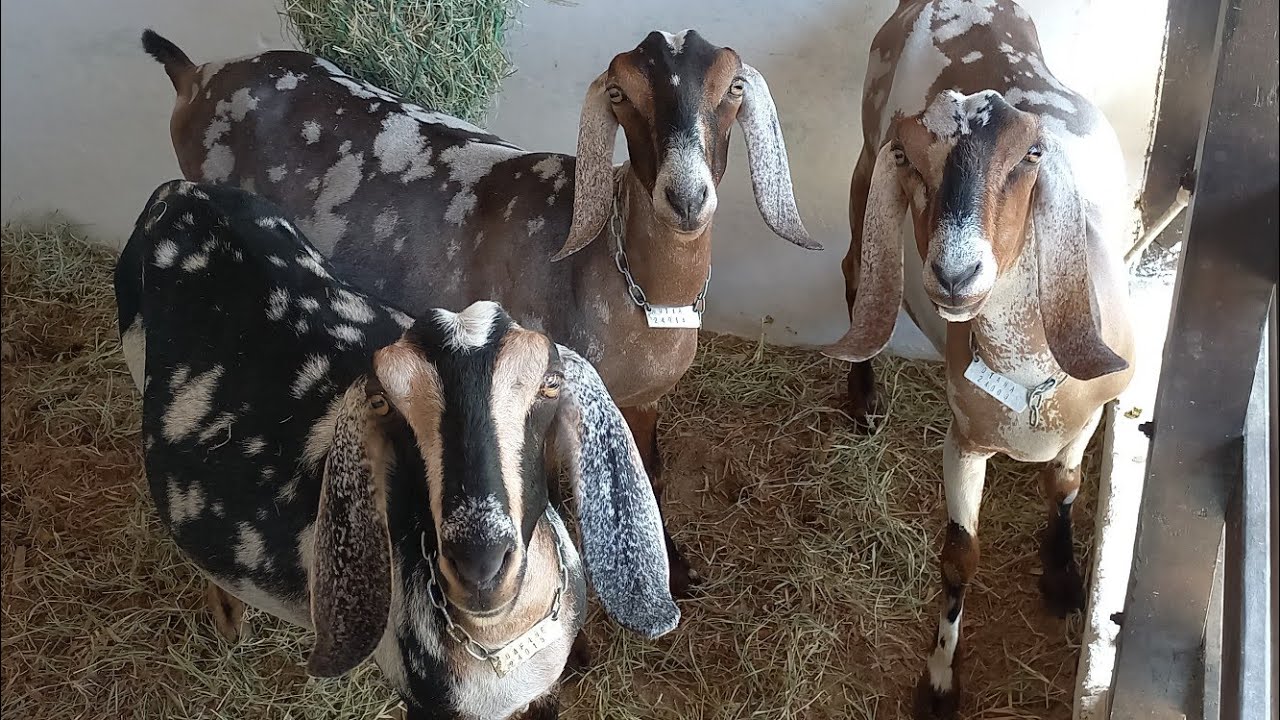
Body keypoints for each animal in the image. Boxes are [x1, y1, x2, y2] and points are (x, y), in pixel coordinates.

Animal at [115, 179, 679, 720]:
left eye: (550, 384)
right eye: (385, 401)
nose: (480, 563)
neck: (501, 643)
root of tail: (179, 191)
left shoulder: (544, 691)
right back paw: (230, 618)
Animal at [140, 29, 823, 596]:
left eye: (732, 87)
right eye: (622, 95)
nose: (685, 197)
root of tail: (198, 74)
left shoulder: (645, 400)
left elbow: (650, 474)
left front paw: (674, 572)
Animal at [822, 2, 1135, 716]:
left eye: (1032, 155)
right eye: (910, 157)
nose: (955, 273)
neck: (1025, 375)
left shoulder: (1084, 418)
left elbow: (1065, 485)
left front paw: (1063, 576)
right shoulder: (964, 439)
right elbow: (958, 558)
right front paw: (940, 679)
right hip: (861, 165)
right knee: (854, 273)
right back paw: (864, 398)